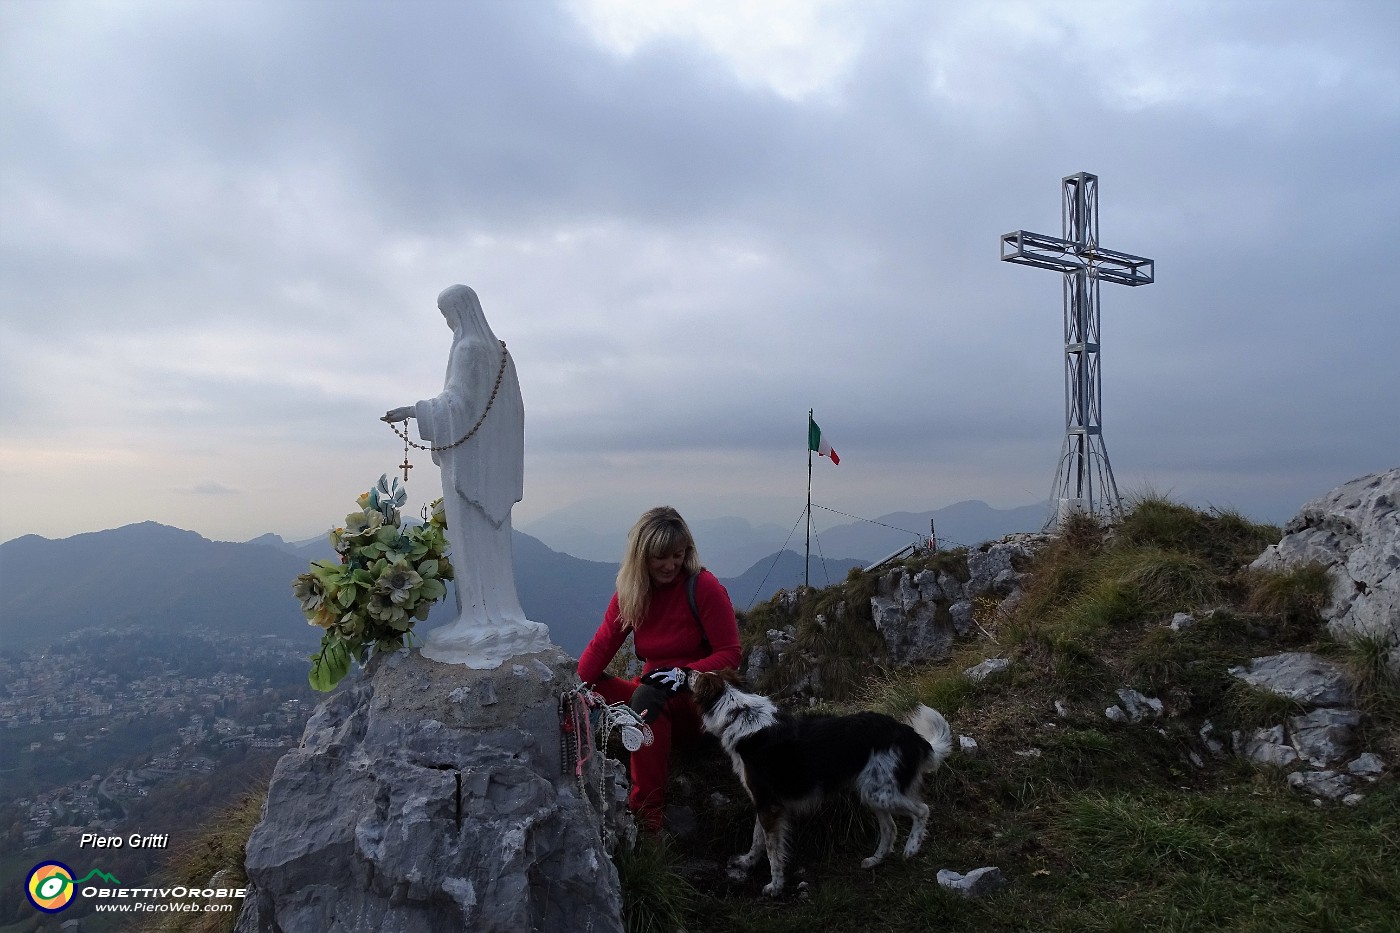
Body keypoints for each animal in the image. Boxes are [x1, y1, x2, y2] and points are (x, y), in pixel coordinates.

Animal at [688, 664, 952, 890]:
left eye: (698, 677)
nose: (687, 669)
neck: (739, 713)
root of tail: (907, 733)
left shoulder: (769, 805)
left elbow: (773, 851)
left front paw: (776, 885)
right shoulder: (765, 801)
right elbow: (757, 839)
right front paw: (747, 862)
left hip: (881, 793)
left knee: (922, 810)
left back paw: (911, 848)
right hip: (873, 792)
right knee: (890, 828)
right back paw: (875, 859)